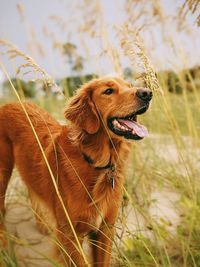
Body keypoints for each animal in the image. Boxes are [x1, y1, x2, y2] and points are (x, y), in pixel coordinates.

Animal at [0, 76, 152, 266]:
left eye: (130, 86)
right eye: (108, 91)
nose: (147, 93)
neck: (96, 163)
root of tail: (9, 104)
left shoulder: (105, 230)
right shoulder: (69, 235)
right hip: (2, 173)